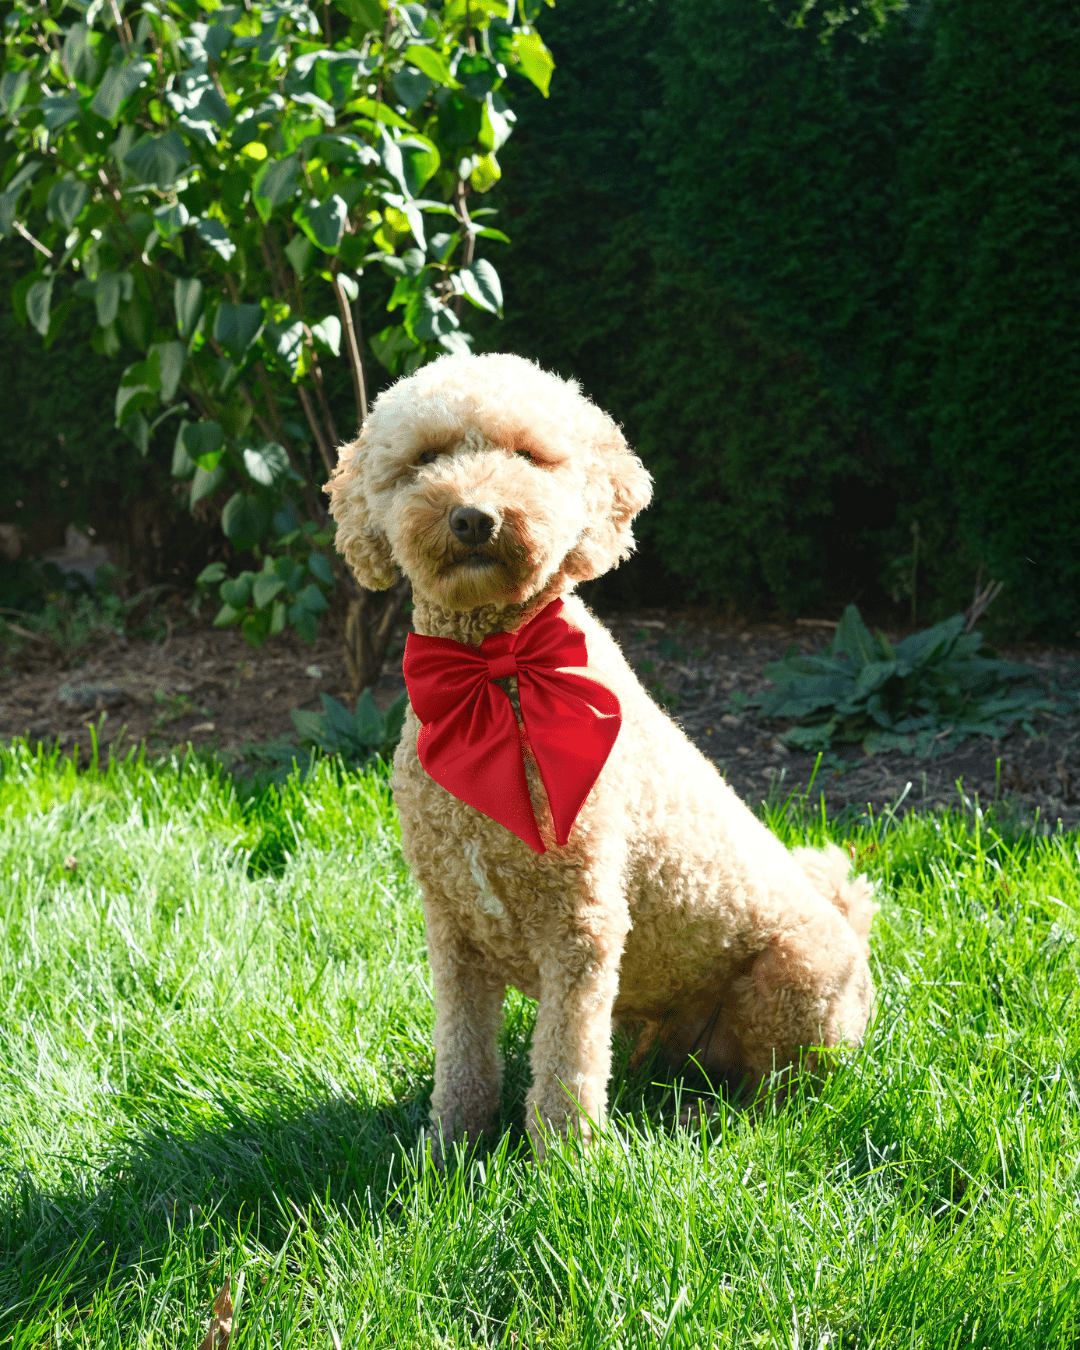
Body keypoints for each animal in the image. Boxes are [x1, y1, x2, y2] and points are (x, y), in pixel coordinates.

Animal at [329, 353, 874, 1155]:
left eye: (528, 455)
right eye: (425, 458)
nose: (473, 517)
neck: (497, 670)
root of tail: (849, 922)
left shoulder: (581, 924)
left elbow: (565, 1063)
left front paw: (563, 1163)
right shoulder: (454, 928)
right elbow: (464, 1056)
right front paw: (450, 1147)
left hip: (794, 978)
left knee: (780, 1093)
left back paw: (709, 1119)